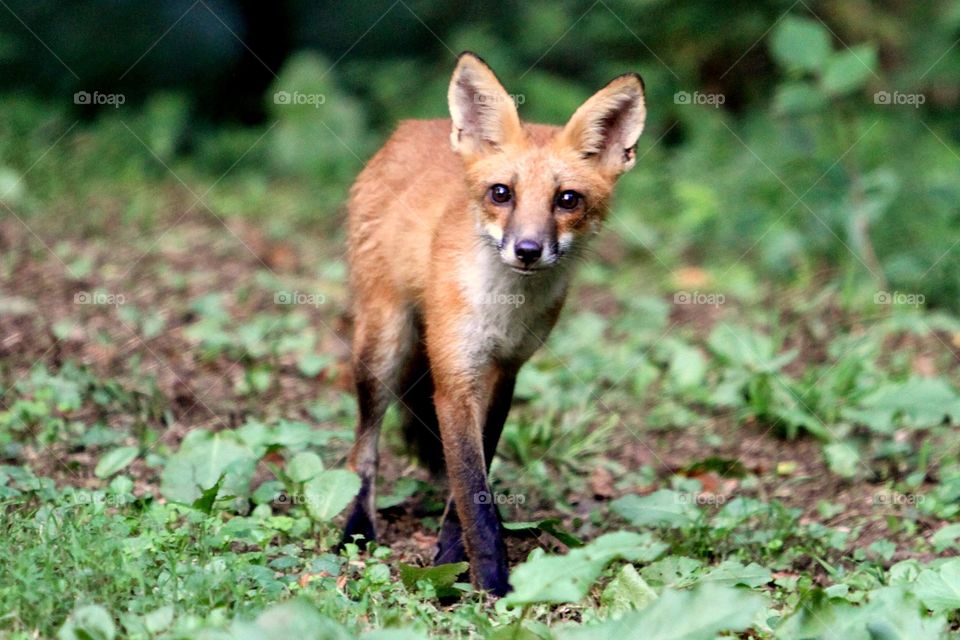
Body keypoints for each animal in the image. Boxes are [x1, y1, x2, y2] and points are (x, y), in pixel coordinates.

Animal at [342, 52, 646, 596]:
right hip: (383, 344)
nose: (527, 250)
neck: (504, 308)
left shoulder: (506, 369)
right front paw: (491, 582)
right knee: (365, 449)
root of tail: (412, 127)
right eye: (501, 193)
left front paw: (452, 554)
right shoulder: (455, 375)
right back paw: (356, 527)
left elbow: (468, 486)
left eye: (567, 200)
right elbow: (472, 488)